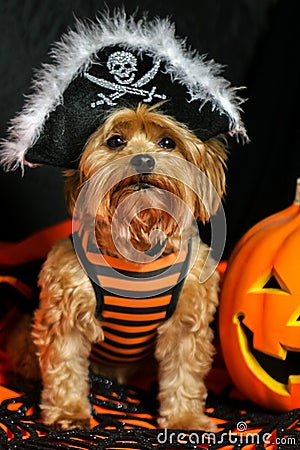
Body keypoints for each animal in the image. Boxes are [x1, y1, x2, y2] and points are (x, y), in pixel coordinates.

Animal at [5, 102, 227, 428]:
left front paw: (184, 418)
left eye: (167, 142)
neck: (138, 245)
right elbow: (66, 365)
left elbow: (184, 374)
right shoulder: (67, 310)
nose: (143, 158)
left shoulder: (186, 323)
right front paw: (69, 411)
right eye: (115, 141)